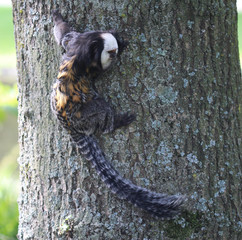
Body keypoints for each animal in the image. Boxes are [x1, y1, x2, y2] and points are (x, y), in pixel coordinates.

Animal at [50, 10, 184, 218]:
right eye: (110, 52)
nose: (114, 54)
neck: (82, 51)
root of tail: (69, 125)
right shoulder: (91, 65)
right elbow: (103, 71)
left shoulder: (74, 41)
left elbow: (64, 36)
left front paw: (57, 18)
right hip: (83, 117)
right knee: (102, 108)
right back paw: (116, 122)